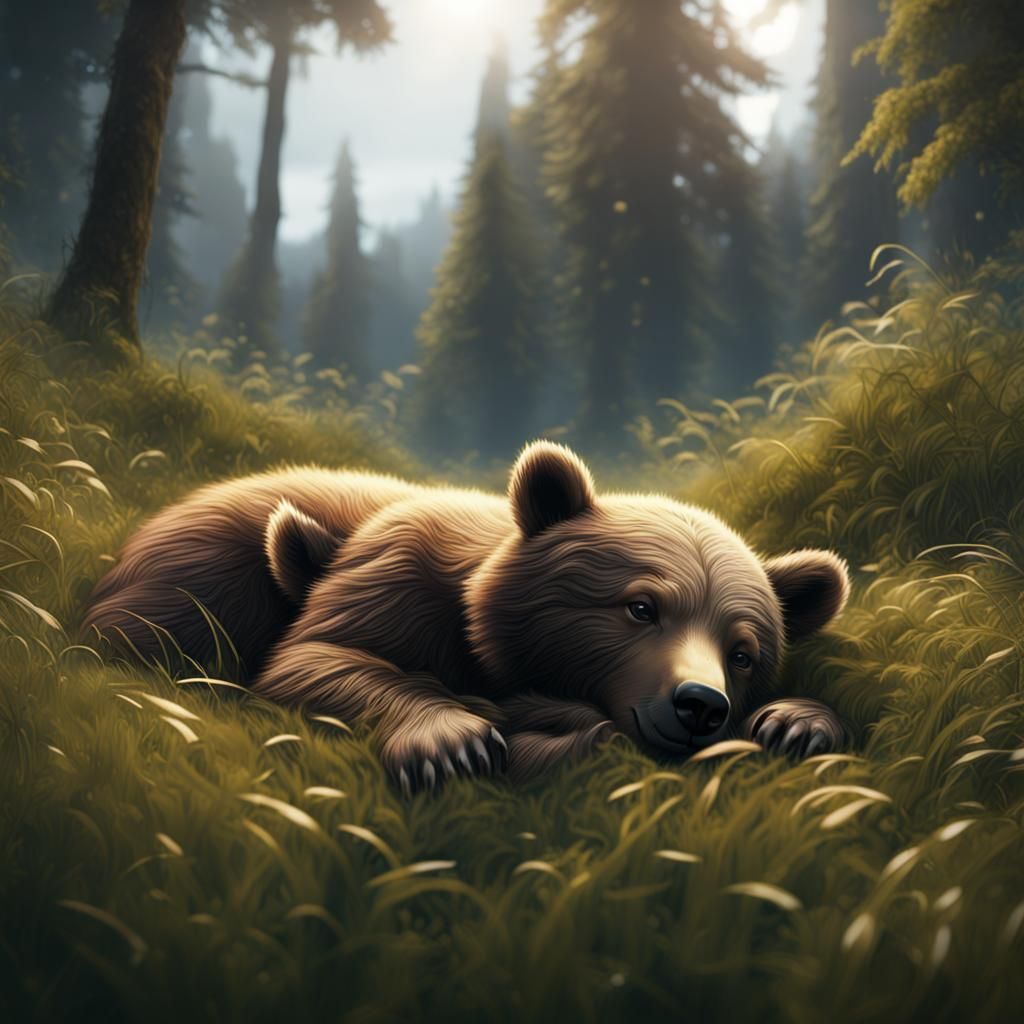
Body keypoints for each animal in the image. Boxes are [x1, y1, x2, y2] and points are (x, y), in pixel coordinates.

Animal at [83, 441, 851, 794]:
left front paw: (795, 722)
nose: (700, 704)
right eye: (641, 606)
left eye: (743, 651)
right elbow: (316, 660)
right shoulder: (394, 577)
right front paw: (451, 739)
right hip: (202, 570)